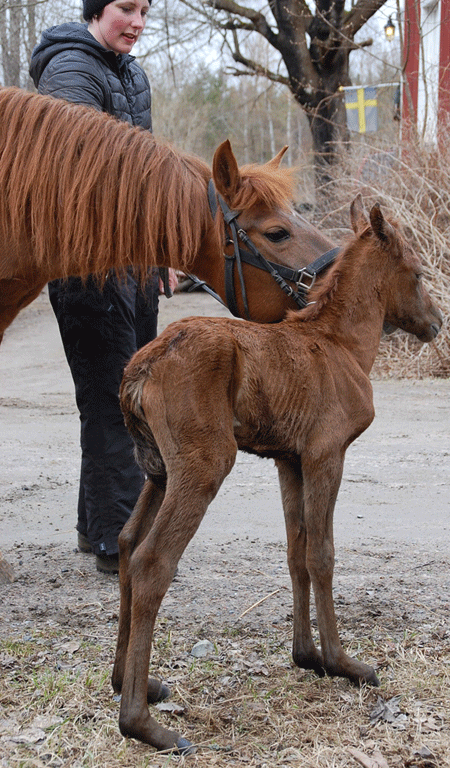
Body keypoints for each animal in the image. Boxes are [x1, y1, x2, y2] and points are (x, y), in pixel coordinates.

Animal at [110, 195, 442, 752]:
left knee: (127, 541)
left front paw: (306, 655)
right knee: (152, 560)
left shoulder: (289, 459)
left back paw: (126, 683)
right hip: (204, 462)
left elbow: (295, 552)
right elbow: (322, 553)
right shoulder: (327, 452)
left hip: (157, 468)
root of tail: (138, 373)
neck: (346, 344)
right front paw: (342, 662)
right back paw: (140, 722)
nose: (437, 321)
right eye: (417, 273)